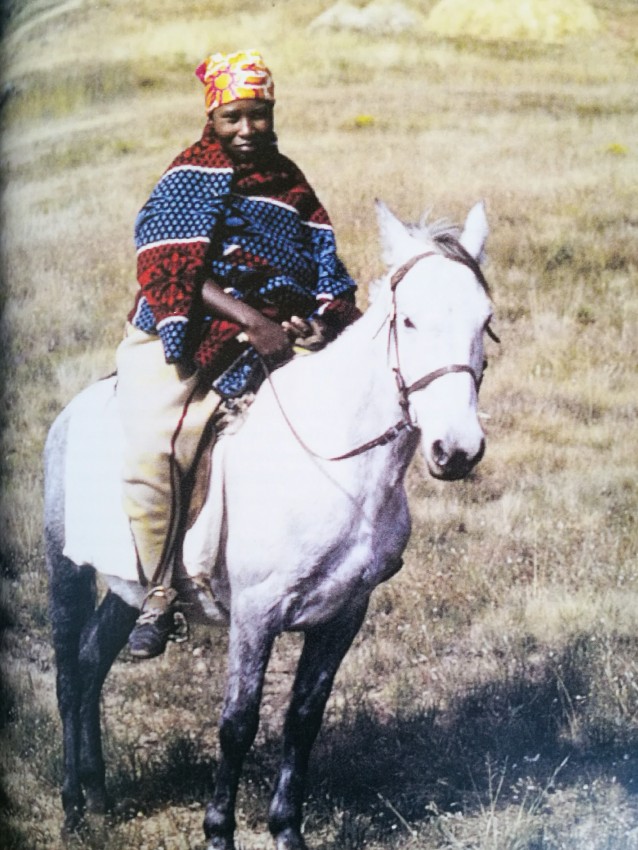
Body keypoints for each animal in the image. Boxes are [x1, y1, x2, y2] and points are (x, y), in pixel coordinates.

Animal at [44, 199, 495, 850]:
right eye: (408, 321)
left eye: (486, 320)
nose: (456, 451)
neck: (333, 464)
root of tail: (72, 412)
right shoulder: (255, 614)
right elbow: (238, 722)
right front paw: (218, 832)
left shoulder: (343, 614)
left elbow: (303, 718)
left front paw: (287, 830)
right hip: (65, 570)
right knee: (66, 674)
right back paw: (73, 806)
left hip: (126, 590)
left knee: (89, 662)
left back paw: (100, 795)